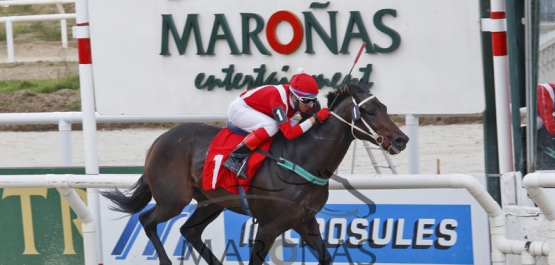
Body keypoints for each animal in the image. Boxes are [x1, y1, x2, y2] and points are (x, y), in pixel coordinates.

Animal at [102, 81, 410, 264]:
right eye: (369, 112)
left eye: (383, 107)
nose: (401, 140)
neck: (303, 159)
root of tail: (158, 141)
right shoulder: (269, 225)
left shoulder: (306, 221)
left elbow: (326, 258)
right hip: (172, 200)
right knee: (148, 220)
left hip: (211, 202)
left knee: (189, 231)